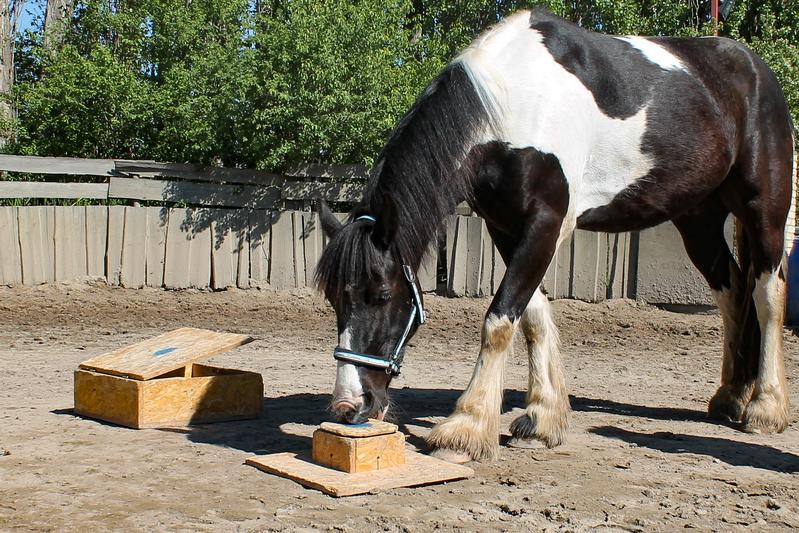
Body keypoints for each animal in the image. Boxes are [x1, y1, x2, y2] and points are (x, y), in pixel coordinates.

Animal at [312, 8, 792, 462]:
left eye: (381, 294)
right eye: (335, 299)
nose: (348, 407)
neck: (513, 103)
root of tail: (754, 68)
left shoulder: (547, 222)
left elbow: (499, 319)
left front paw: (465, 429)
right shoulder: (505, 227)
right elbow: (532, 317)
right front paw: (541, 419)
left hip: (764, 209)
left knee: (767, 292)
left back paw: (765, 407)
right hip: (698, 220)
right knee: (732, 292)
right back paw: (730, 397)